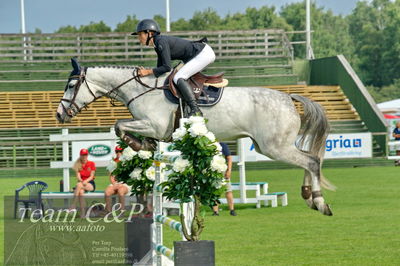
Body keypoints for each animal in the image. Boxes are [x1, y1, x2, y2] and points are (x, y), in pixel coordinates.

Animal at [56, 59, 336, 215]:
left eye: (70, 86)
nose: (60, 114)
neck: (139, 89)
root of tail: (288, 97)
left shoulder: (155, 126)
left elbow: (119, 126)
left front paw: (139, 143)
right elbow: (121, 127)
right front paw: (143, 145)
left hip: (273, 146)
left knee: (311, 161)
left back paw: (320, 202)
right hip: (270, 146)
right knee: (309, 159)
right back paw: (308, 196)